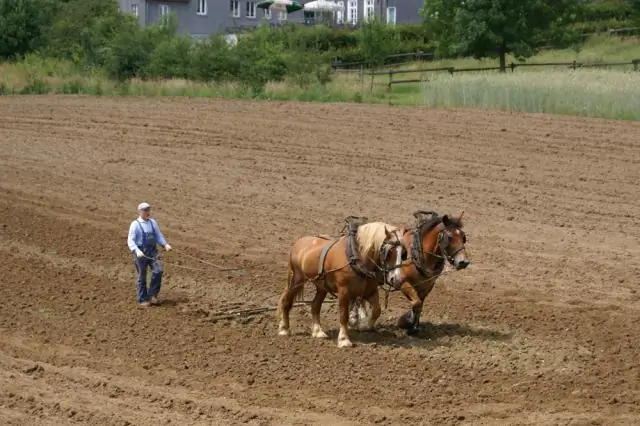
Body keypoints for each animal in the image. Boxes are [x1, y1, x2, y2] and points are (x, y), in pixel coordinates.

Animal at [278, 218, 408, 348]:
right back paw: (284, 329)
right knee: (286, 301)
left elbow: (377, 310)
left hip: (322, 287)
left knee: (315, 306)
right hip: (297, 279)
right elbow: (344, 315)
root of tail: (299, 242)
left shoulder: (370, 291)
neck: (356, 257)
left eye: (403, 253)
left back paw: (318, 331)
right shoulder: (344, 291)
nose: (396, 279)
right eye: (389, 251)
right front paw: (344, 339)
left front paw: (363, 325)